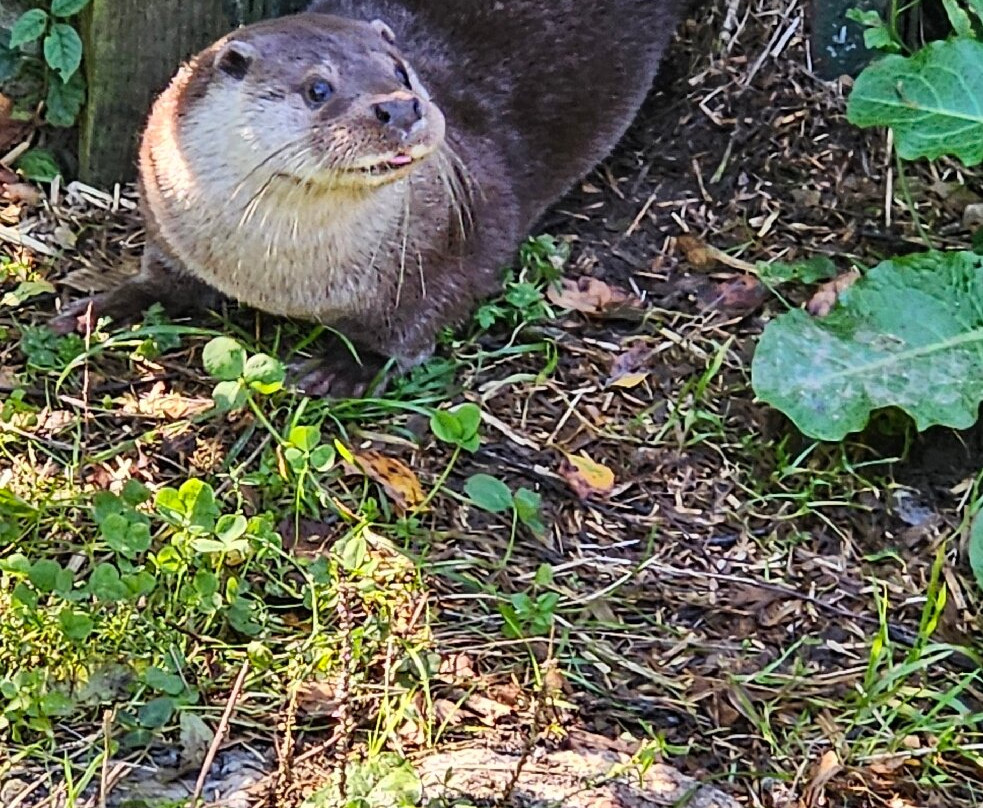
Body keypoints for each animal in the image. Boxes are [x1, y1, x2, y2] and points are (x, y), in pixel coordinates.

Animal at [52, 0, 685, 396]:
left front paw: (346, 367)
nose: (400, 107)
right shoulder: (165, 207)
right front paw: (99, 307)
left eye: (401, 71)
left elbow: (420, 316)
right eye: (318, 87)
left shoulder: (463, 236)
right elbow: (162, 279)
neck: (280, 274)